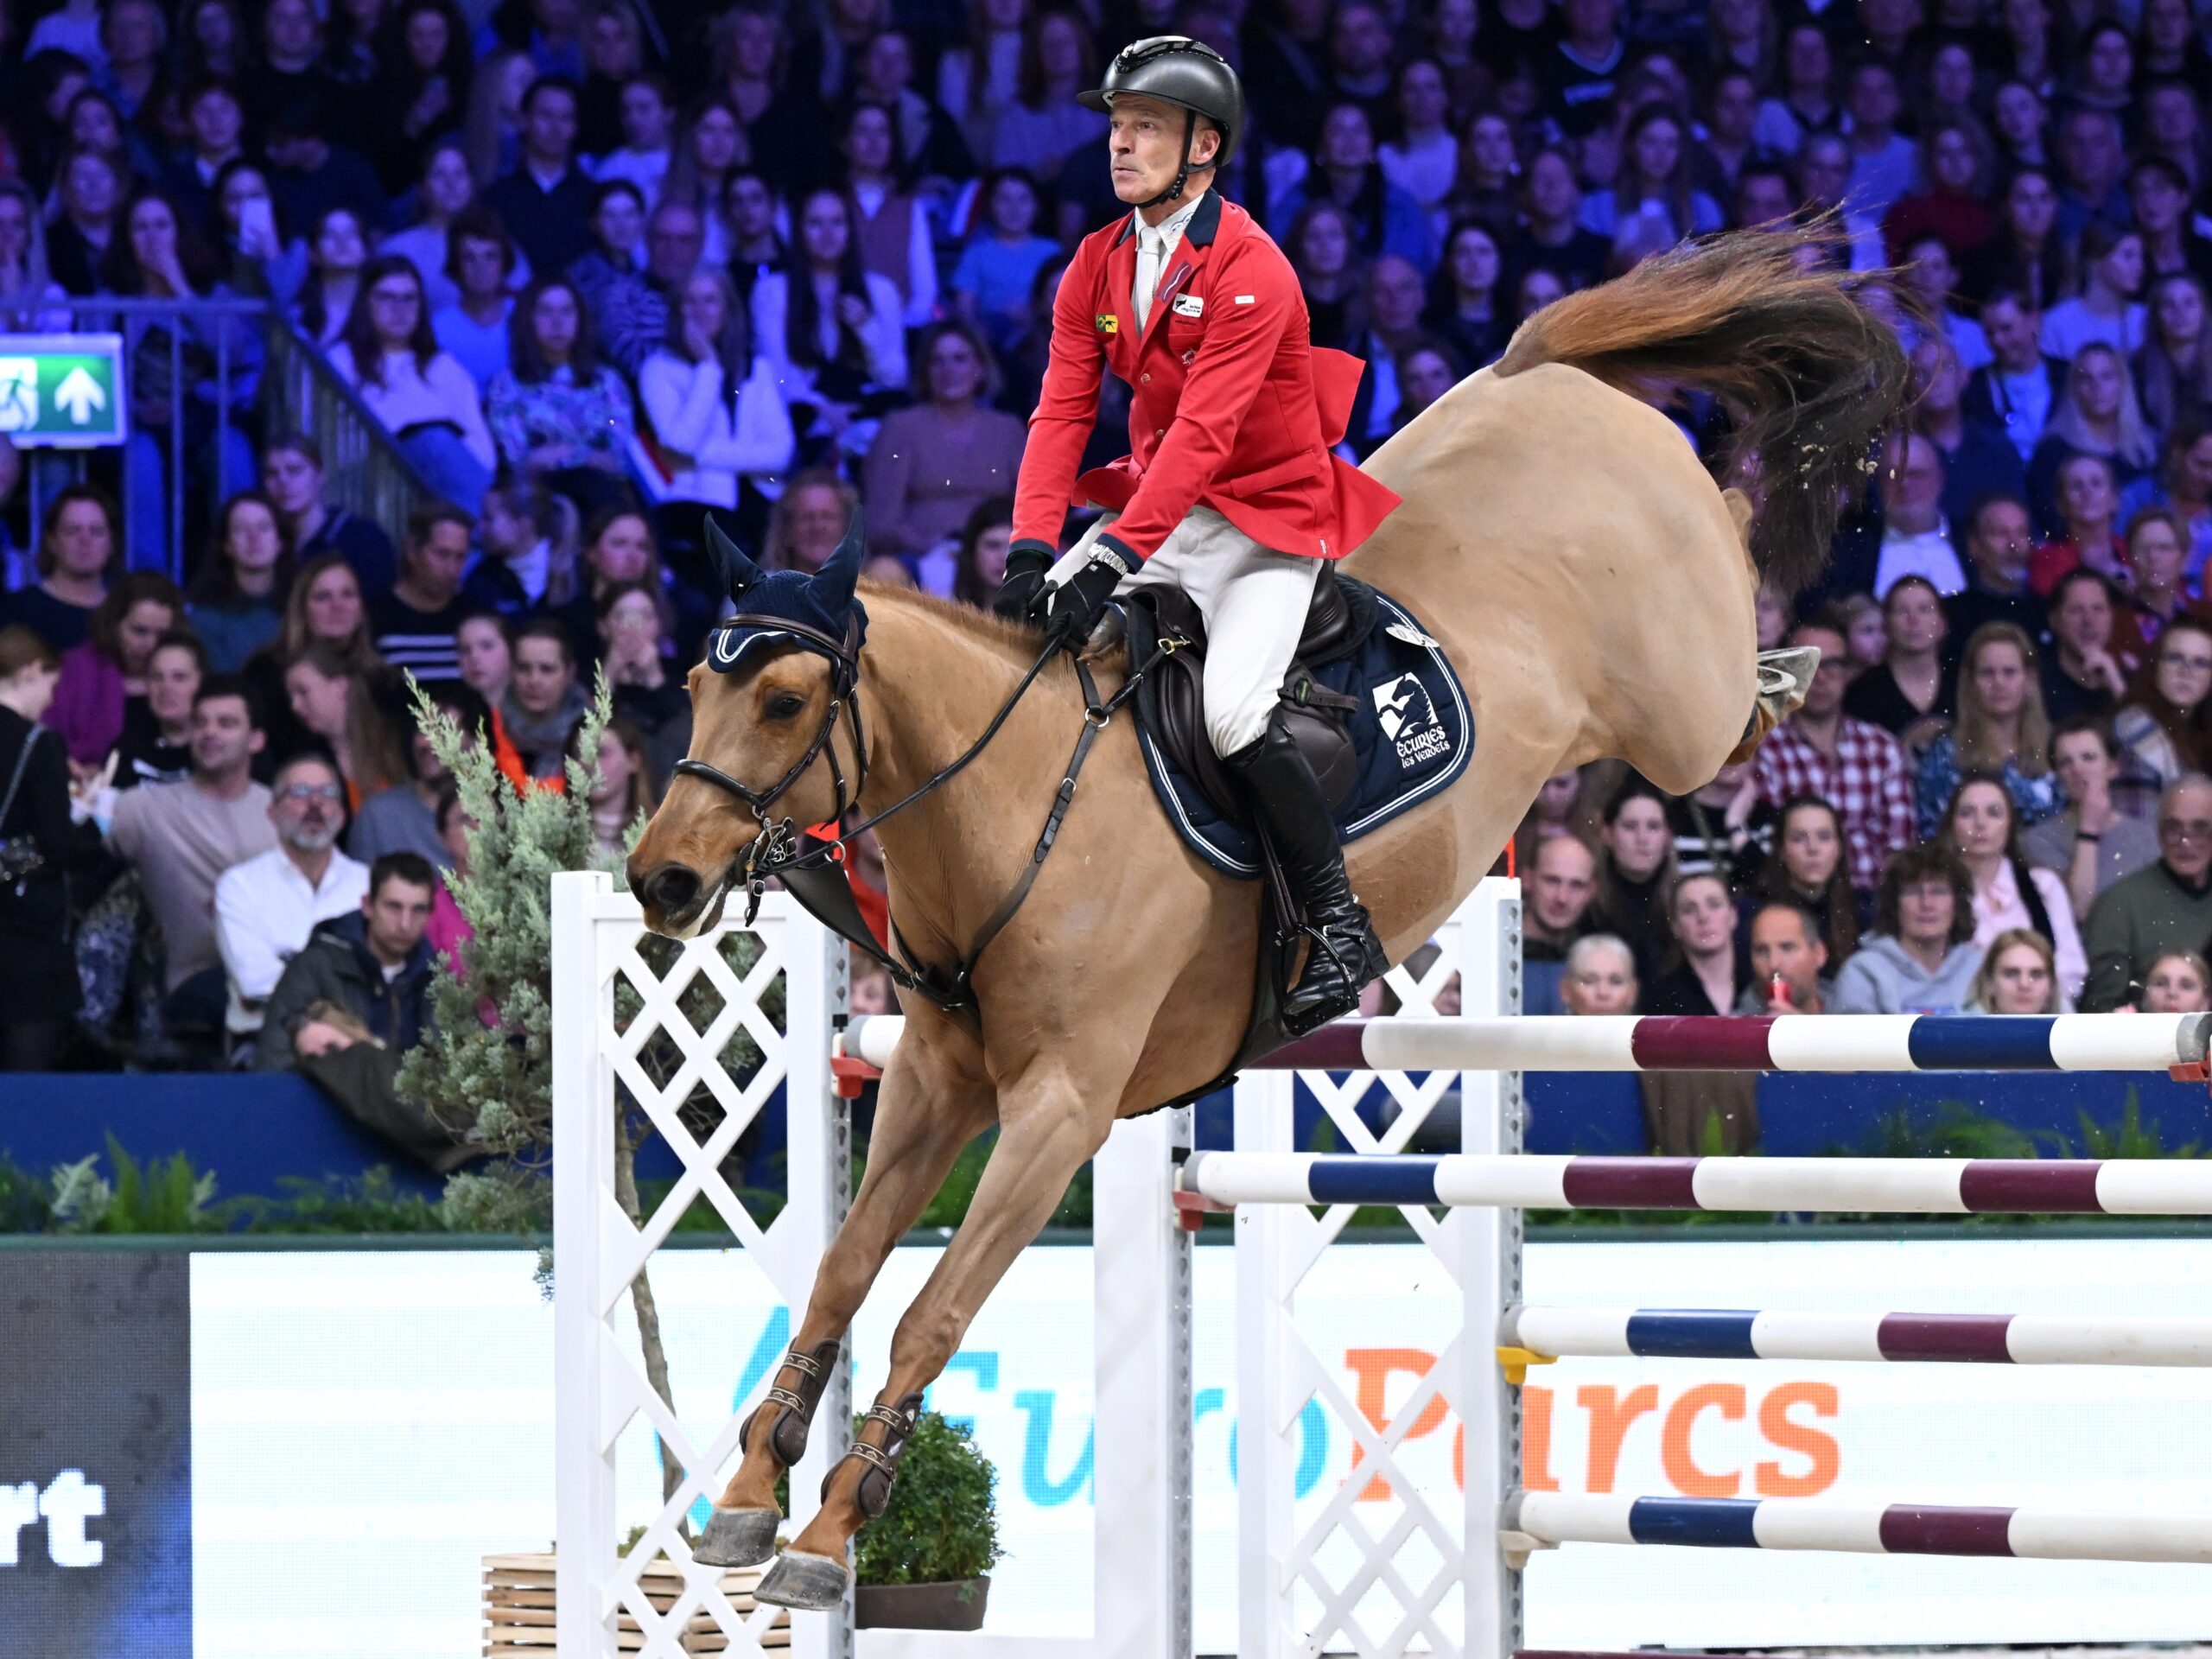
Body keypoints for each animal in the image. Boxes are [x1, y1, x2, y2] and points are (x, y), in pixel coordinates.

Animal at [623, 224, 1902, 1610]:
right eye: (693, 681)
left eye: (787, 701)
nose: (661, 881)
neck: (1011, 810)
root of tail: (1535, 372)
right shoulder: (931, 1080)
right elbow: (843, 1270)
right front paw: (751, 1496)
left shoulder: (1061, 1110)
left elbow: (931, 1312)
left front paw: (824, 1532)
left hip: (1678, 709)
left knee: (1733, 593)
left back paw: (1792, 602)